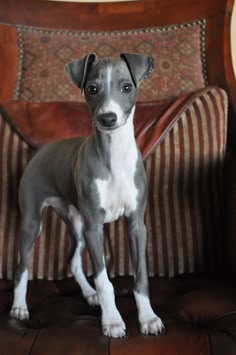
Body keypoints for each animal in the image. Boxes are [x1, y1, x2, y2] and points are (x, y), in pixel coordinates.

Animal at [9, 52, 164, 340]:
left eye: (127, 87)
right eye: (92, 89)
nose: (108, 118)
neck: (114, 156)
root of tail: (41, 151)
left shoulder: (136, 225)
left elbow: (141, 277)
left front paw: (148, 318)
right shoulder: (95, 227)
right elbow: (104, 280)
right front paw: (112, 321)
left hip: (77, 222)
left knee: (72, 261)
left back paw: (89, 294)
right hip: (34, 223)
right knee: (22, 266)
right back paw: (19, 306)